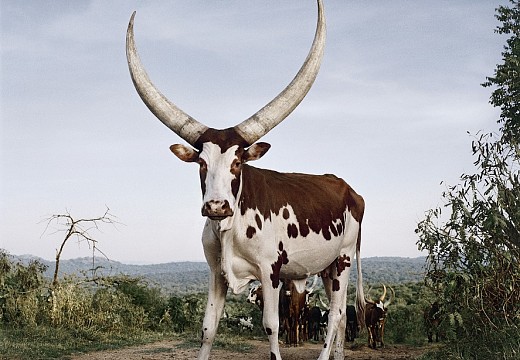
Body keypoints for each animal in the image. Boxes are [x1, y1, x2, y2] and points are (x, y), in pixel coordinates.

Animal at [126, 1, 366, 358]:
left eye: (238, 162)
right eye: (201, 163)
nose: (216, 206)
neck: (231, 226)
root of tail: (349, 189)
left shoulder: (271, 272)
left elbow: (271, 326)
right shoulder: (215, 273)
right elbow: (208, 327)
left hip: (344, 258)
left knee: (336, 314)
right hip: (326, 266)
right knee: (340, 319)